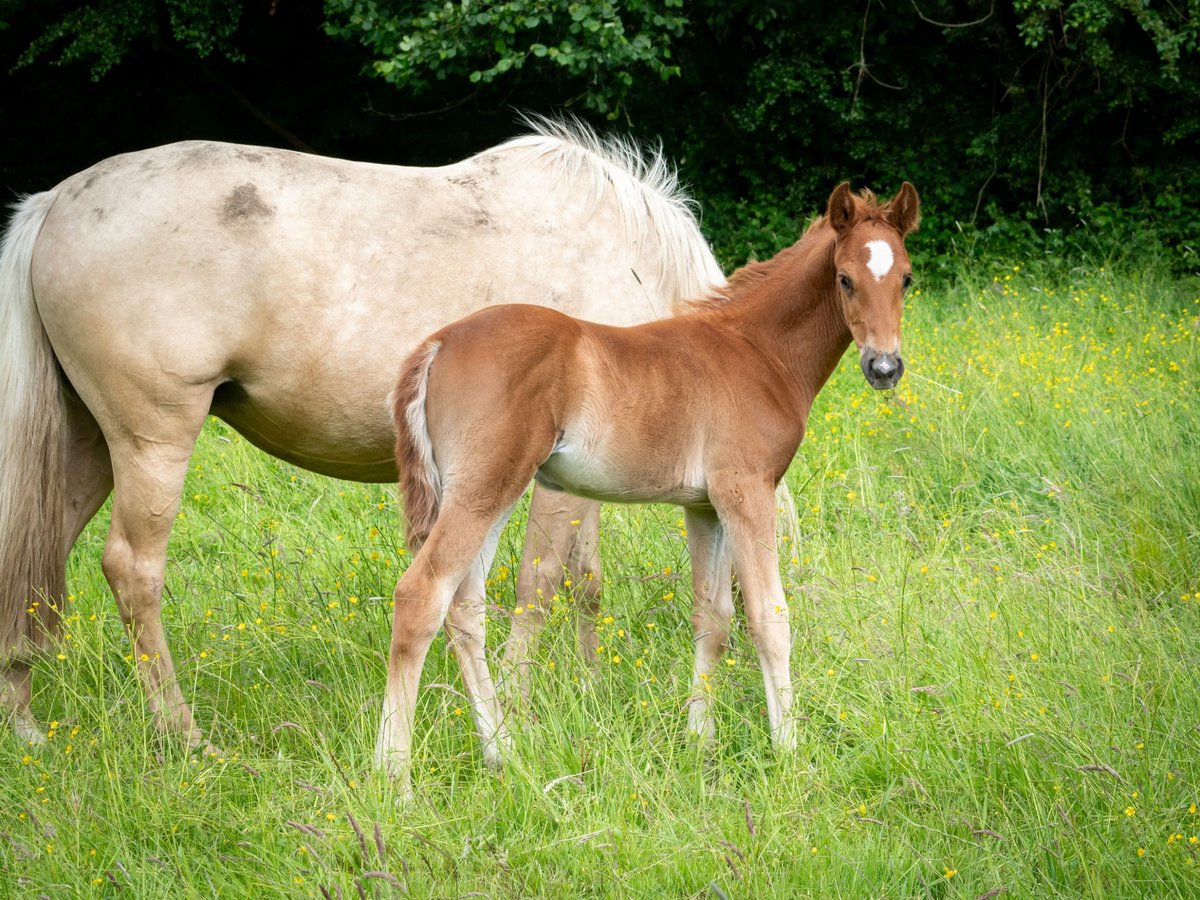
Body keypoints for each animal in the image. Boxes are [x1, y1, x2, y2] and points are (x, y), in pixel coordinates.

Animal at [0, 118, 726, 749]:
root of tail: (52, 205)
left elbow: (585, 581)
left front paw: (585, 688)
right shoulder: (553, 479)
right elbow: (541, 584)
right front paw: (522, 709)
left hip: (87, 447)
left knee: (31, 555)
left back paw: (25, 725)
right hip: (151, 442)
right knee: (133, 571)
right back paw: (185, 737)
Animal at [376, 181, 920, 791]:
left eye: (906, 278)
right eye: (845, 278)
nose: (883, 367)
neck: (755, 350)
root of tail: (440, 343)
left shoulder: (705, 507)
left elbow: (712, 620)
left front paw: (699, 744)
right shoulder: (745, 491)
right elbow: (769, 619)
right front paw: (790, 757)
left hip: (487, 493)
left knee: (465, 608)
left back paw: (504, 755)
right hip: (485, 489)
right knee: (422, 596)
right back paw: (394, 777)